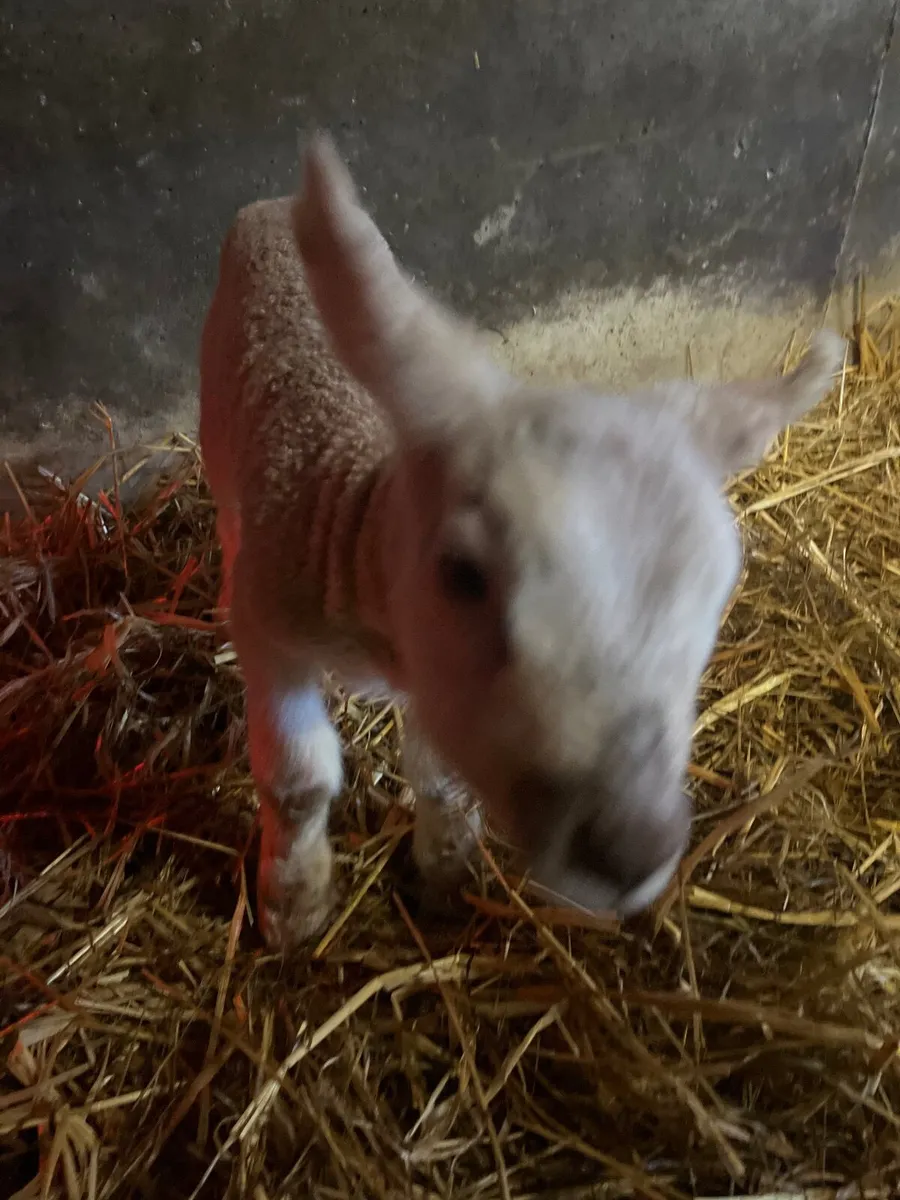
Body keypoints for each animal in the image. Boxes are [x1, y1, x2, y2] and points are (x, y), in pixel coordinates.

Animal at [199, 133, 844, 951]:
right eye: (463, 573)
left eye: (718, 592)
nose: (630, 849)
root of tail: (274, 203)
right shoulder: (268, 623)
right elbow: (298, 781)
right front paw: (294, 902)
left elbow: (439, 774)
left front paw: (447, 866)